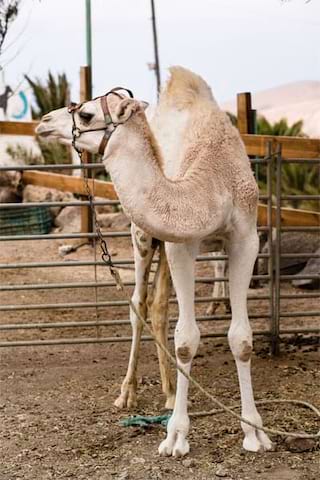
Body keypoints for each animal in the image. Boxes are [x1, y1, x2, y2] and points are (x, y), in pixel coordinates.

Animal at [37, 65, 272, 456]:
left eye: (85, 114)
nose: (43, 122)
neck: (213, 182)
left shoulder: (245, 239)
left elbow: (241, 338)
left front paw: (255, 432)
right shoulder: (182, 244)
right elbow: (186, 339)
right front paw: (175, 437)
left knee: (160, 306)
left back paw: (170, 391)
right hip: (143, 236)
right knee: (139, 304)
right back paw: (129, 393)